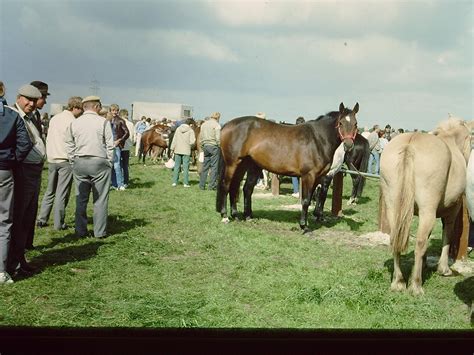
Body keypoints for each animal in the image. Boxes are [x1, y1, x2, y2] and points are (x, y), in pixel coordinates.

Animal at [216, 102, 360, 234]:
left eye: (355, 124)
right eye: (340, 123)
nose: (348, 145)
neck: (318, 139)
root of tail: (227, 125)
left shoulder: (318, 177)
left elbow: (311, 199)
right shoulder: (308, 176)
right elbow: (306, 200)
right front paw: (304, 227)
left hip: (246, 165)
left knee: (239, 188)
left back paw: (240, 216)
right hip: (232, 164)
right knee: (226, 186)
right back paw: (225, 216)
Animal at [382, 118, 474, 296]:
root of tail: (410, 144)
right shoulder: (452, 211)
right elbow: (447, 235)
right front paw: (444, 269)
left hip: (393, 208)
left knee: (395, 239)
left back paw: (399, 282)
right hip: (427, 210)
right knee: (420, 242)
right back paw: (416, 285)